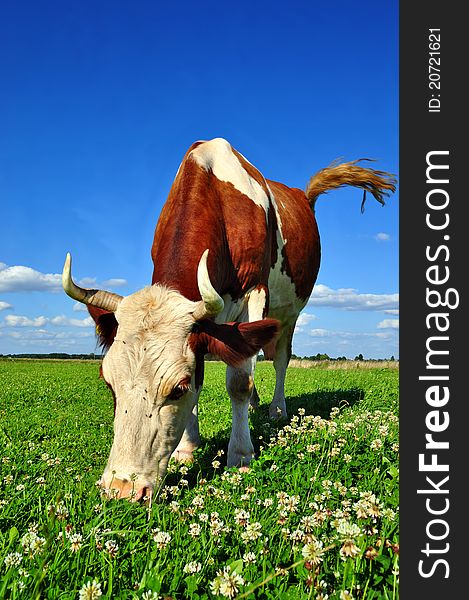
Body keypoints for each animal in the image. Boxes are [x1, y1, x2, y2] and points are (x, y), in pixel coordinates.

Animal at [60, 138, 394, 500]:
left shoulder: (255, 293)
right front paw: (187, 449)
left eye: (177, 388)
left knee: (279, 358)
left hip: (289, 312)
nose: (121, 489)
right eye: (109, 383)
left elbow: (239, 382)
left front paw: (241, 455)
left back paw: (276, 409)